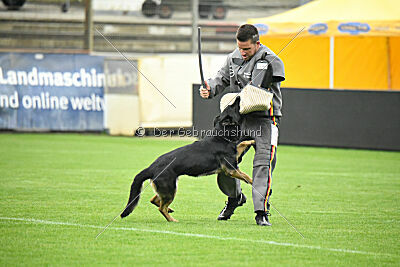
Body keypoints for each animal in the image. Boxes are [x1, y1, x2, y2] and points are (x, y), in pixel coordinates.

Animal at [120, 97, 255, 223]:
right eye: (232, 106)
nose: (238, 97)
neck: (222, 136)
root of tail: (151, 167)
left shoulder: (234, 158)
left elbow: (242, 143)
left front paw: (252, 140)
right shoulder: (231, 170)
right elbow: (247, 176)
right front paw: (254, 182)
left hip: (168, 188)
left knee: (154, 200)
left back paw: (170, 210)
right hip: (170, 189)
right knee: (161, 208)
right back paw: (172, 220)